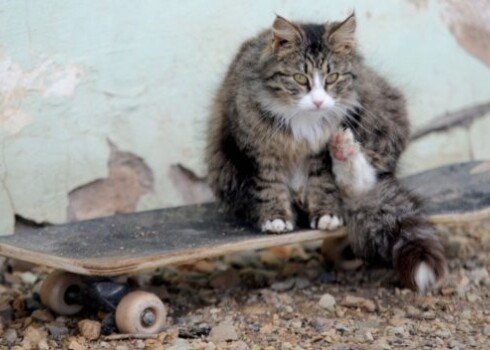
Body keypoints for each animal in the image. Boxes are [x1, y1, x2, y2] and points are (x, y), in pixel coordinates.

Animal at [205, 13, 446, 292]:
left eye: (332, 78)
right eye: (300, 79)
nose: (319, 101)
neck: (305, 122)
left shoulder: (319, 154)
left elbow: (324, 183)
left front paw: (327, 215)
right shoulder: (259, 152)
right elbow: (268, 187)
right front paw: (275, 219)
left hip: (379, 118)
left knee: (358, 187)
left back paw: (344, 150)